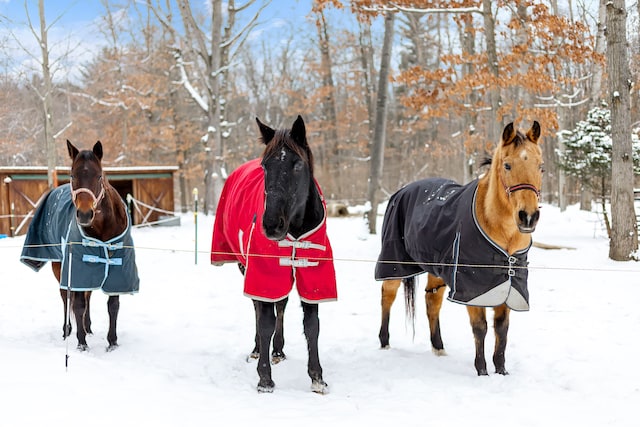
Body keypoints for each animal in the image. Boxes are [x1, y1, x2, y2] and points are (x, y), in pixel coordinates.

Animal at [20, 140, 139, 352]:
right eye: (72, 175)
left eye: (98, 175)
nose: (84, 214)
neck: (103, 230)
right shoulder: (75, 264)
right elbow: (77, 305)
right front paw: (81, 342)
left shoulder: (117, 267)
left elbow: (112, 305)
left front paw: (112, 342)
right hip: (59, 264)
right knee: (65, 296)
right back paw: (67, 330)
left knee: (87, 294)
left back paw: (88, 326)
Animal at [211, 114, 340, 394]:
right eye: (265, 166)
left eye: (297, 165)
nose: (271, 225)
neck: (296, 230)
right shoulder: (263, 273)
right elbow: (265, 321)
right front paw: (264, 378)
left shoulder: (312, 274)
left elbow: (311, 325)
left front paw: (317, 376)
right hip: (247, 267)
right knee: (258, 309)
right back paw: (259, 348)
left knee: (280, 305)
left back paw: (278, 350)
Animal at [376, 122, 544, 376]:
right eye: (507, 165)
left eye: (540, 167)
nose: (528, 217)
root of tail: (402, 191)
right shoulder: (471, 287)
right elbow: (480, 328)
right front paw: (482, 371)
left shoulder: (509, 286)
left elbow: (501, 329)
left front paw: (501, 370)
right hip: (394, 264)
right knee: (388, 296)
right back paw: (384, 343)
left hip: (436, 270)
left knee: (432, 303)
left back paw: (438, 347)